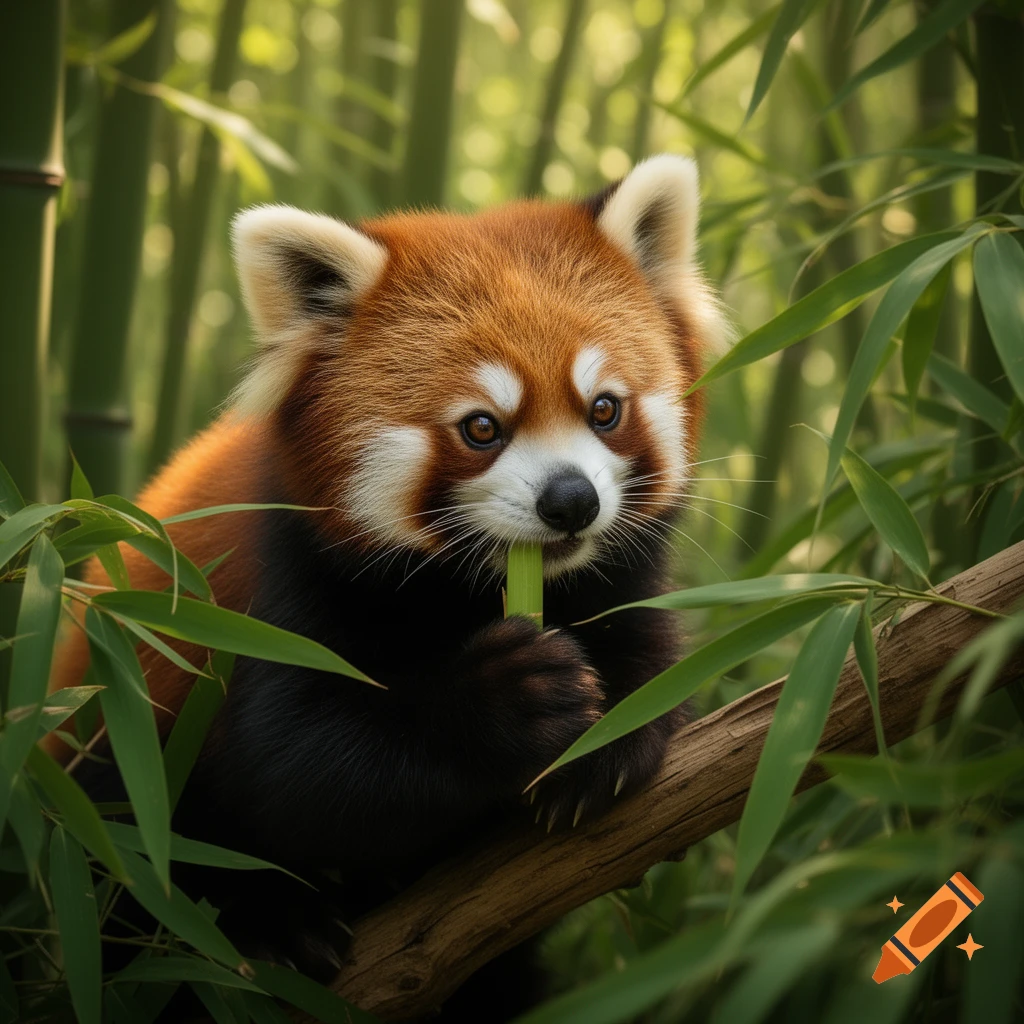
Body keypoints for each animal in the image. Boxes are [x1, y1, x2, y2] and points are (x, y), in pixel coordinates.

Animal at [47, 154, 728, 1018]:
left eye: (604, 409)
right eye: (481, 427)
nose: (571, 501)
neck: (465, 587)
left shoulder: (619, 575)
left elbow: (654, 656)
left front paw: (605, 744)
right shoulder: (289, 587)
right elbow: (298, 772)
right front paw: (507, 702)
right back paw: (270, 927)